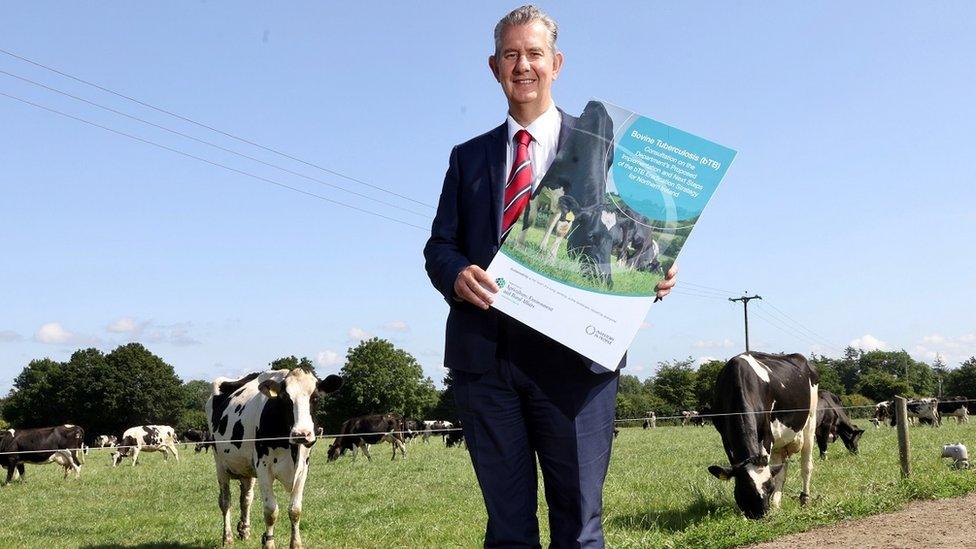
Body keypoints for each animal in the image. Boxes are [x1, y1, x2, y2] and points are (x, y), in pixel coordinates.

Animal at [206, 368, 344, 548]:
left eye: (315, 397)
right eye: (285, 398)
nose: (302, 434)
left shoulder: (303, 469)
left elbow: (295, 510)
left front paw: (296, 543)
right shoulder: (264, 469)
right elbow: (271, 511)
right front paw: (269, 542)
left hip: (246, 469)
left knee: (246, 498)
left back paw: (244, 530)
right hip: (220, 464)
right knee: (225, 500)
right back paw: (227, 537)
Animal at [704, 352, 820, 520]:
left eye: (769, 488)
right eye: (744, 488)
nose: (762, 515)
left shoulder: (766, 434)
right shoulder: (725, 436)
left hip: (810, 421)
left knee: (806, 465)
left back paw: (804, 499)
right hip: (780, 440)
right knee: (781, 470)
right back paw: (776, 504)